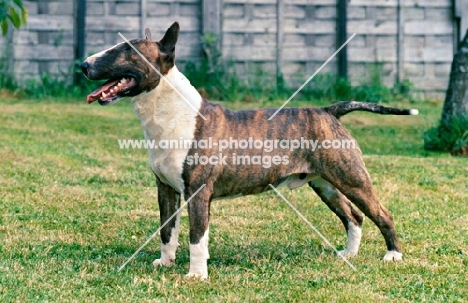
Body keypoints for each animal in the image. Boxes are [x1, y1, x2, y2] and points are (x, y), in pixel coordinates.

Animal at [79, 22, 416, 280]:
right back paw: (348, 253)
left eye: (125, 50)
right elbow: (167, 230)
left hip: (351, 177)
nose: (83, 65)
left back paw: (393, 255)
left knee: (381, 213)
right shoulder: (165, 188)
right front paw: (165, 262)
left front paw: (196, 275)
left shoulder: (198, 191)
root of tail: (328, 111)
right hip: (324, 183)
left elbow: (196, 237)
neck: (169, 113)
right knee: (353, 216)